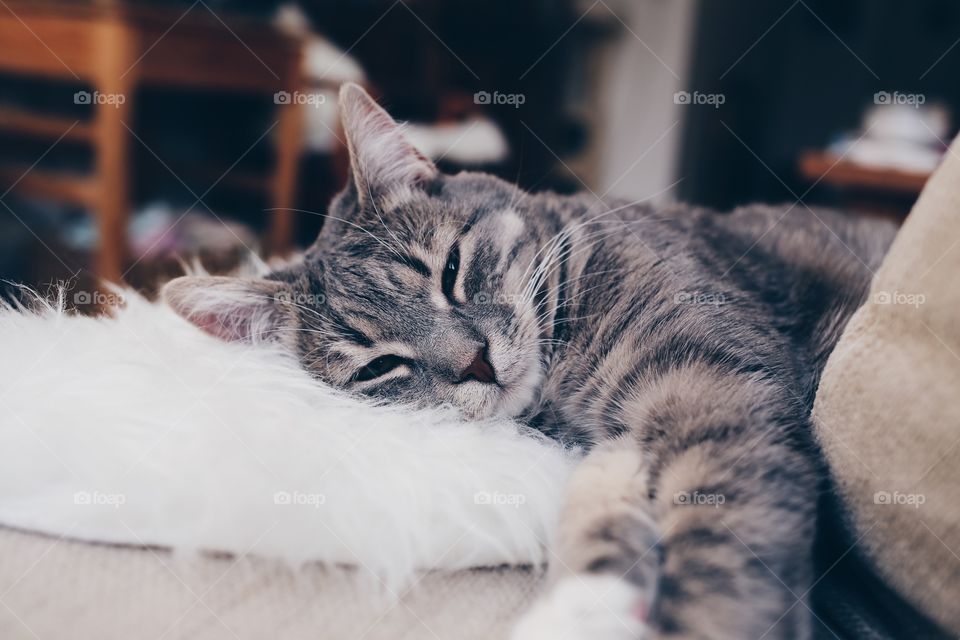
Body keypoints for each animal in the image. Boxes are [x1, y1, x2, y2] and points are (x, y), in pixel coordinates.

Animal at [163, 85, 892, 640]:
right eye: (377, 368)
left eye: (451, 270)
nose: (477, 364)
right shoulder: (621, 444)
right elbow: (596, 515)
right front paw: (591, 606)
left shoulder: (716, 390)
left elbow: (726, 545)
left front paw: (710, 620)